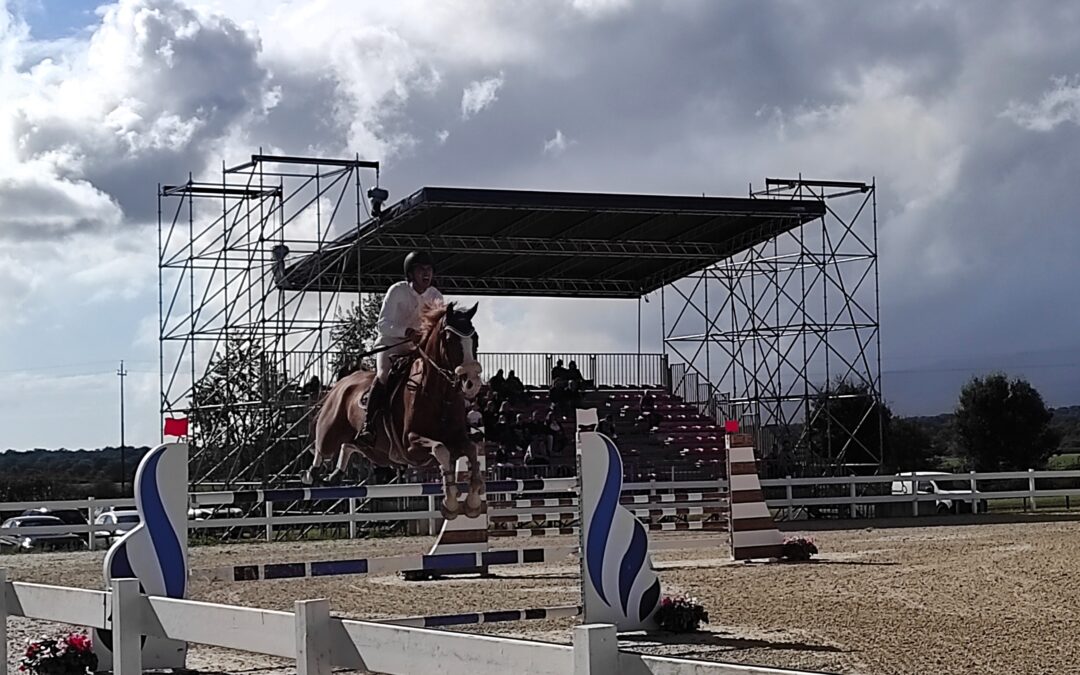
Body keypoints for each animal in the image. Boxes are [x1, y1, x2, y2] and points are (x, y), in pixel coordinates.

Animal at [306, 302, 488, 518]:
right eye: (450, 339)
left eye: (475, 339)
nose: (472, 384)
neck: (440, 395)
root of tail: (344, 381)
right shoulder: (411, 445)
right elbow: (440, 449)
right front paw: (451, 502)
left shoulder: (458, 438)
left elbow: (472, 450)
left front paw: (473, 502)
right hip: (331, 430)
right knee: (321, 448)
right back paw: (311, 475)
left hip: (377, 452)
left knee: (349, 445)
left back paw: (336, 473)